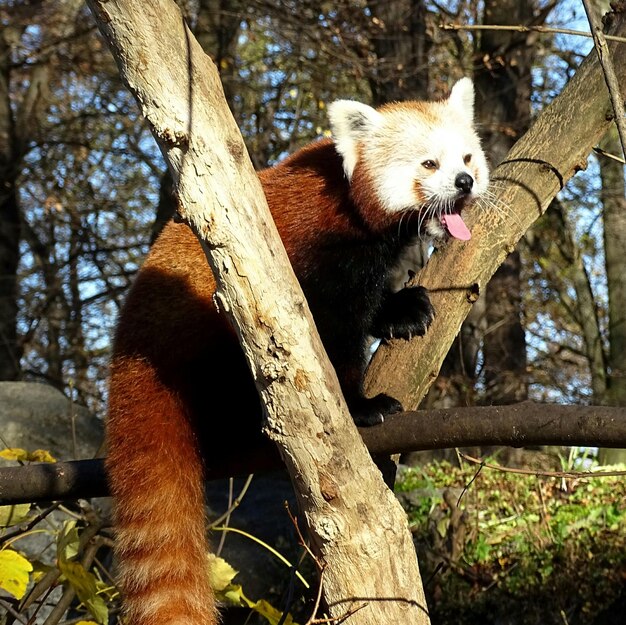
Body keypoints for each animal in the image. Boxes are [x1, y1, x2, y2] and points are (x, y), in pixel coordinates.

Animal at [106, 78, 488, 624]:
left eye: (467, 157)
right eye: (428, 164)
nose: (464, 182)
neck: (353, 208)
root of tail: (129, 351)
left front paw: (402, 309)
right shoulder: (320, 256)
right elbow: (331, 335)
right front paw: (361, 405)